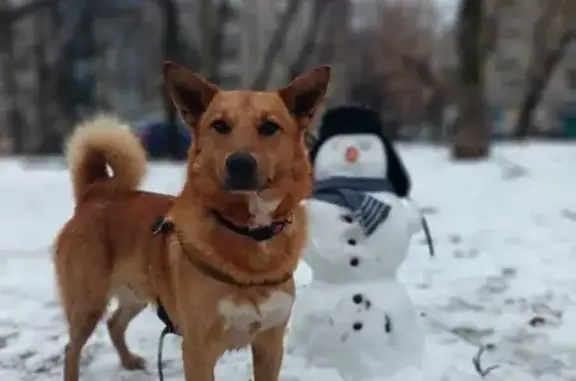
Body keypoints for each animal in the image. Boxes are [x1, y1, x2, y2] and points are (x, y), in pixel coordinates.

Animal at [54, 62, 332, 380]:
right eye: (220, 125)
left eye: (269, 127)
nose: (240, 163)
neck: (248, 234)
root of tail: (96, 193)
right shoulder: (198, 350)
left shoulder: (270, 344)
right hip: (88, 303)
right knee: (72, 348)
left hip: (136, 292)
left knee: (114, 323)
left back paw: (129, 361)